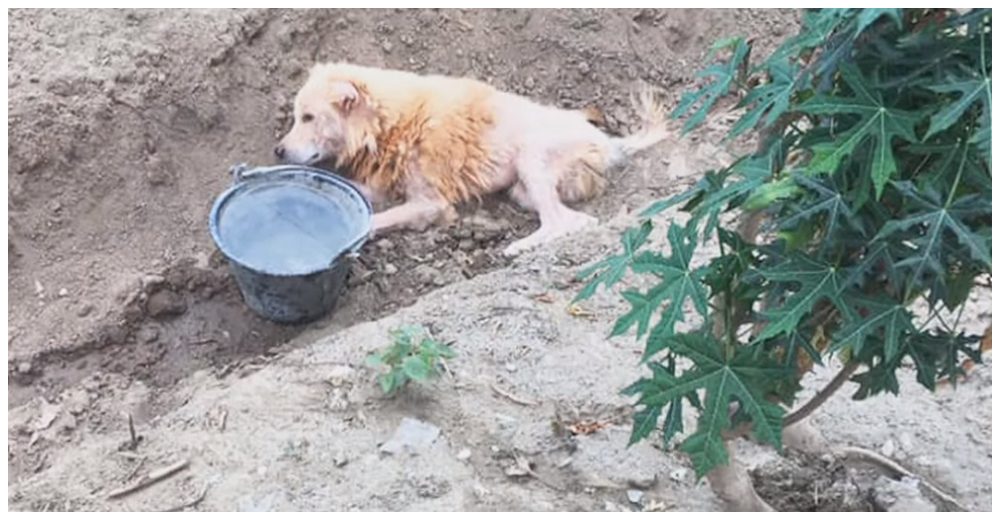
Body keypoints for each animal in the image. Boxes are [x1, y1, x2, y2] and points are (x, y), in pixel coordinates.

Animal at [274, 62, 668, 256]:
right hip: (522, 190)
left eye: (308, 118)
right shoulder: (384, 186)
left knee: (565, 222)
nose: (278, 150)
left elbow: (374, 220)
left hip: (530, 159)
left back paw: (519, 247)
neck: (392, 121)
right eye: (295, 116)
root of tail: (609, 142)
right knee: (572, 218)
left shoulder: (429, 203)